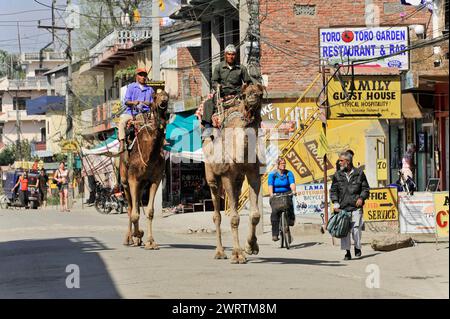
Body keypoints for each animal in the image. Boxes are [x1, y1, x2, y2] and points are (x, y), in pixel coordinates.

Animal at [119, 90, 169, 250]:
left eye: (168, 95)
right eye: (155, 97)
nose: (163, 101)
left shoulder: (155, 179)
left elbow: (150, 212)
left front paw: (150, 242)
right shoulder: (133, 178)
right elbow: (134, 213)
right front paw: (138, 234)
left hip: (141, 184)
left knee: (136, 204)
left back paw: (137, 238)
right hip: (125, 180)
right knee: (130, 208)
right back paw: (129, 238)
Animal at [203, 83, 264, 264]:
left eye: (260, 93)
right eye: (244, 94)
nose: (252, 97)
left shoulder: (253, 175)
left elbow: (255, 214)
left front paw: (250, 247)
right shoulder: (227, 176)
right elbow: (234, 218)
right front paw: (237, 255)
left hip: (238, 181)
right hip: (212, 178)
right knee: (217, 215)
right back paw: (220, 252)